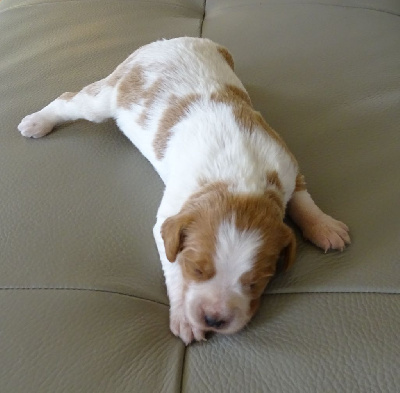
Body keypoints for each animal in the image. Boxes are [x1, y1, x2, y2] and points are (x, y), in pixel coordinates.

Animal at [18, 36, 350, 344]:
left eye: (255, 283)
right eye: (197, 269)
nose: (214, 319)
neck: (241, 184)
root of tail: (169, 41)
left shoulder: (287, 164)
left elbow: (303, 199)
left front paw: (326, 227)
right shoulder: (171, 217)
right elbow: (172, 264)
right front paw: (185, 318)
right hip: (106, 97)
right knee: (69, 101)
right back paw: (37, 122)